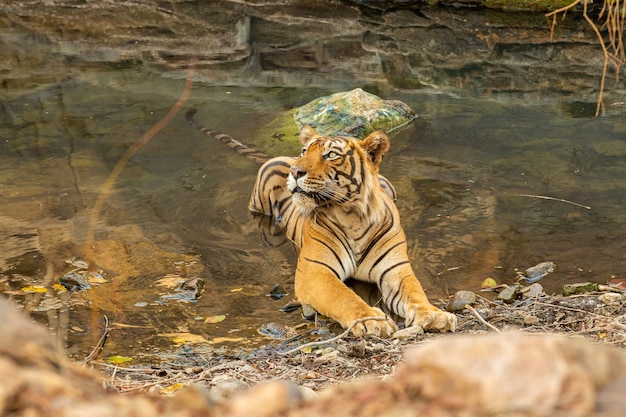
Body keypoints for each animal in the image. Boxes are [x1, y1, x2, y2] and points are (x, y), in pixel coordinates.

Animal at [184, 108, 454, 338]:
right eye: (305, 152)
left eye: (331, 155)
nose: (295, 171)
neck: (353, 216)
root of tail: (281, 156)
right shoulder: (316, 271)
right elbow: (344, 296)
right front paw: (370, 320)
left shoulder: (395, 269)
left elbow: (415, 291)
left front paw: (435, 315)